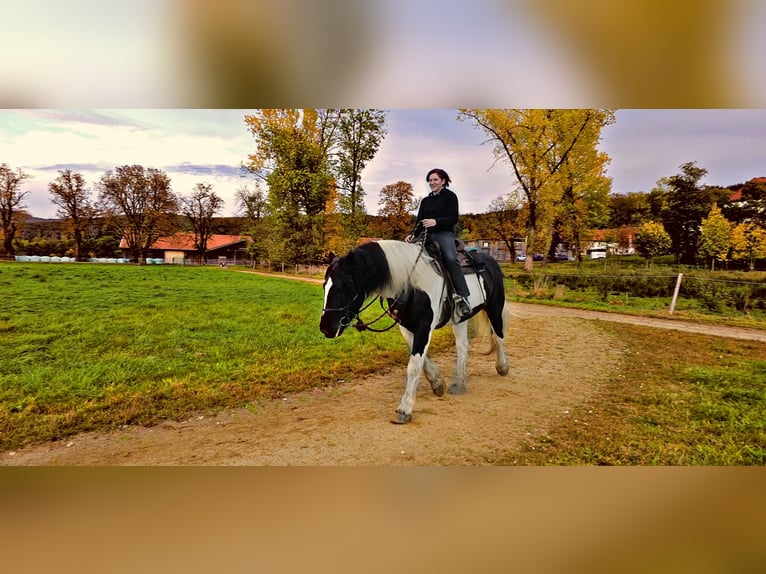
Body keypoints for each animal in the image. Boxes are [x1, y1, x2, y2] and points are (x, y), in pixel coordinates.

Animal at [319, 239, 510, 424]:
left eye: (344, 287)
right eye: (324, 286)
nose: (325, 328)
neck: (411, 283)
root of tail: (490, 261)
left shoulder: (425, 327)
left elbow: (413, 365)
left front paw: (405, 409)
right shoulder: (406, 327)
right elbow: (420, 359)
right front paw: (437, 383)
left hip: (494, 307)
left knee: (499, 337)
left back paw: (502, 367)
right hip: (460, 319)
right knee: (462, 346)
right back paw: (459, 383)